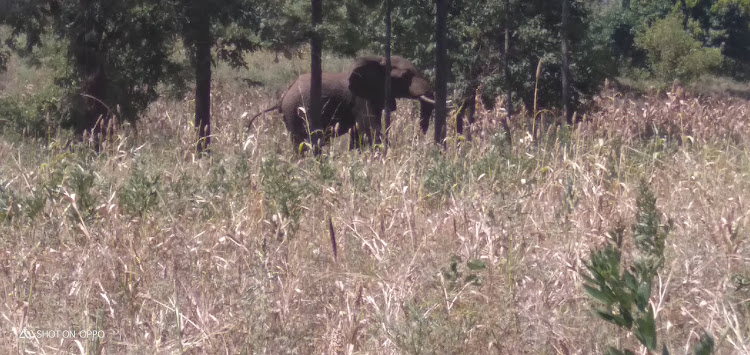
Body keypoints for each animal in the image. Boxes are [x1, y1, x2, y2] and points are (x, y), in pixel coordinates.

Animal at [251, 55, 434, 156]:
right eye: (406, 76)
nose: (416, 139)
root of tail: (282, 96)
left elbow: (359, 133)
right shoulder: (361, 99)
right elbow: (371, 128)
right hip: (296, 112)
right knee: (306, 143)